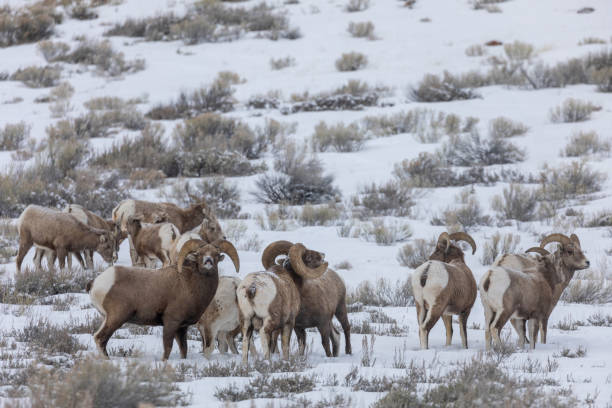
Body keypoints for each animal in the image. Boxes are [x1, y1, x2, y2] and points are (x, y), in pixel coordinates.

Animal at [87, 239, 240, 360]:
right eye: (200, 254)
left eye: (216, 254)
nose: (208, 261)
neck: (190, 284)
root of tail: (96, 283)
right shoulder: (171, 323)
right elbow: (167, 348)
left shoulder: (182, 327)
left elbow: (184, 350)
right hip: (116, 318)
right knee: (100, 339)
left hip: (107, 318)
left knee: (97, 337)